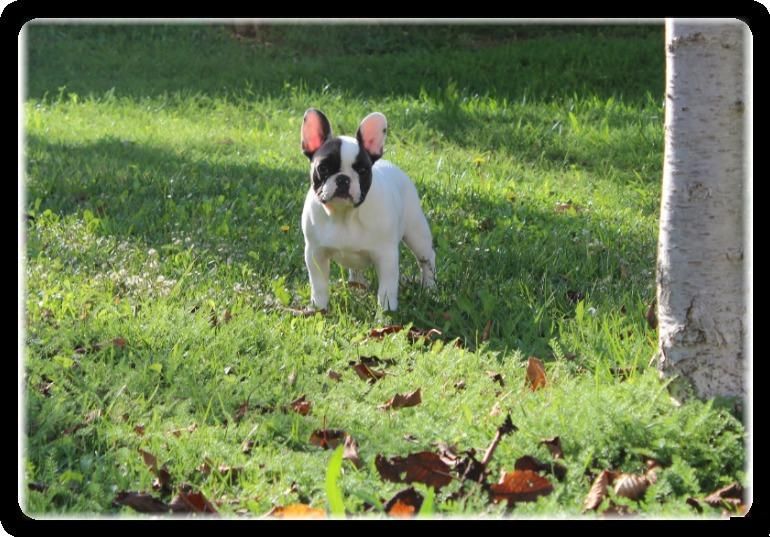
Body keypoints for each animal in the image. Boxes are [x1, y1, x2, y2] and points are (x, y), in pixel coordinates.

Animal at [298, 108, 432, 310]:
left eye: (362, 170)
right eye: (323, 168)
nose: (343, 179)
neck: (344, 215)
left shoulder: (386, 256)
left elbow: (387, 289)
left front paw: (386, 312)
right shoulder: (315, 253)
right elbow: (319, 284)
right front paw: (319, 307)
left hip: (417, 233)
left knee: (427, 260)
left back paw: (431, 287)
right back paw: (357, 286)